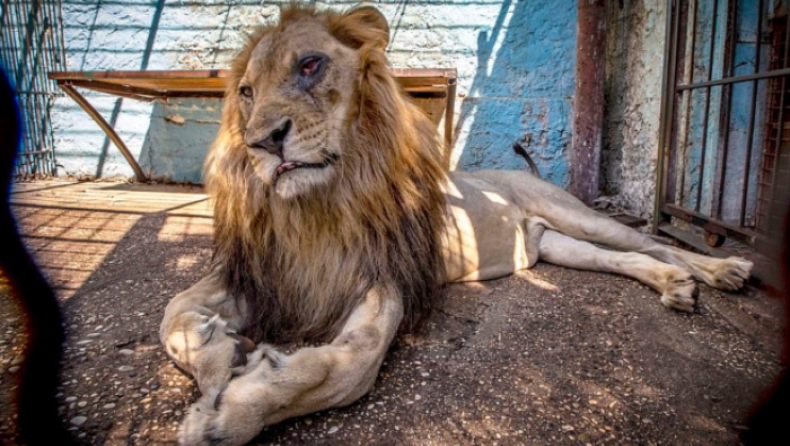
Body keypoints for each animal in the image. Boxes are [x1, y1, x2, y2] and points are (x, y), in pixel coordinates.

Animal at [159, 4, 756, 446]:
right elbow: (173, 317)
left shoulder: (385, 277)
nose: (261, 143)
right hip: (557, 247)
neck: (316, 207)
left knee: (655, 242)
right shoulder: (263, 272)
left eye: (309, 65)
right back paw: (676, 287)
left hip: (579, 215)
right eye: (245, 92)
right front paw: (221, 357)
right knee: (628, 259)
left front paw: (235, 409)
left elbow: (351, 367)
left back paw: (720, 270)